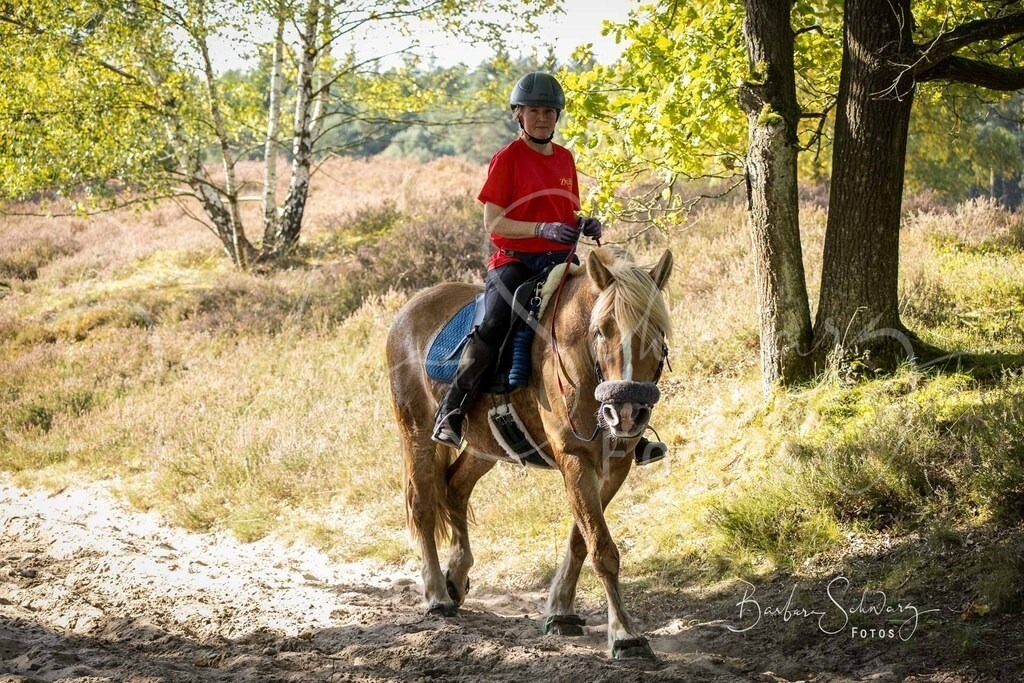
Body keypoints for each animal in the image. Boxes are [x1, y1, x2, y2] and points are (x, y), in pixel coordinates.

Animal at [385, 246, 673, 660]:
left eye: (657, 330)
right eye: (602, 330)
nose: (627, 412)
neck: (579, 356)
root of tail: (408, 310)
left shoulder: (613, 465)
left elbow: (581, 539)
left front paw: (561, 612)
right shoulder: (574, 458)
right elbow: (602, 548)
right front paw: (624, 635)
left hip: (484, 448)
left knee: (455, 487)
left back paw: (455, 577)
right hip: (418, 436)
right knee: (422, 505)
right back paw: (437, 596)